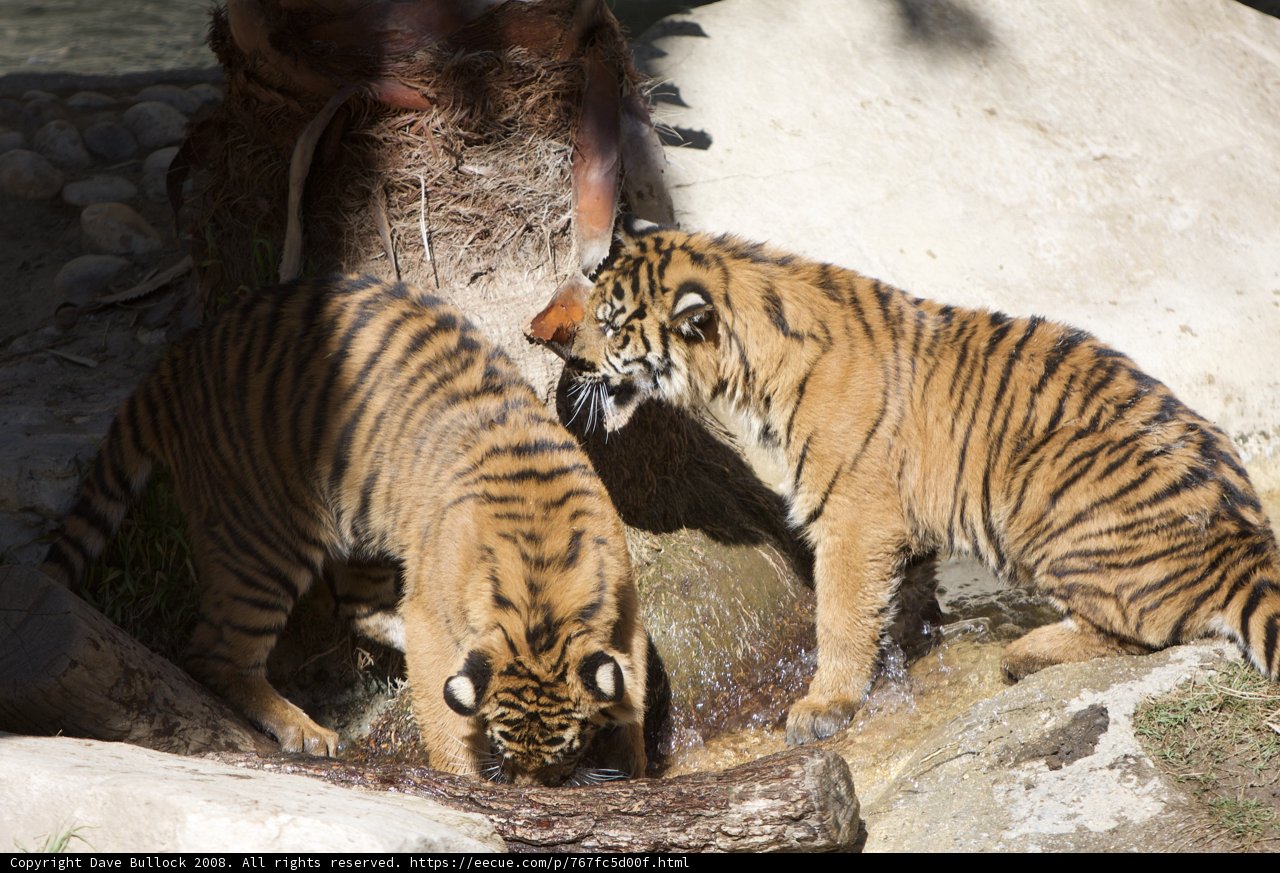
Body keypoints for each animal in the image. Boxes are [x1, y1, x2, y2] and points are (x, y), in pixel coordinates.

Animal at [41, 274, 648, 785]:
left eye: (567, 752)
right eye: (503, 748)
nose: (535, 789)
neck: (542, 586)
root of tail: (177, 361)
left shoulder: (625, 607)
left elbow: (635, 684)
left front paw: (637, 759)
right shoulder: (436, 615)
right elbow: (442, 713)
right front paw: (463, 779)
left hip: (363, 527)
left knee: (356, 607)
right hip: (262, 541)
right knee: (216, 653)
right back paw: (308, 732)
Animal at [537, 216, 1280, 746]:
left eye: (610, 325)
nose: (562, 350)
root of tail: (1243, 539)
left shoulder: (851, 515)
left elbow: (839, 615)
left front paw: (822, 705)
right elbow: (901, 598)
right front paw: (909, 648)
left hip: (1045, 494)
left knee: (1140, 630)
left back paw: (1028, 650)